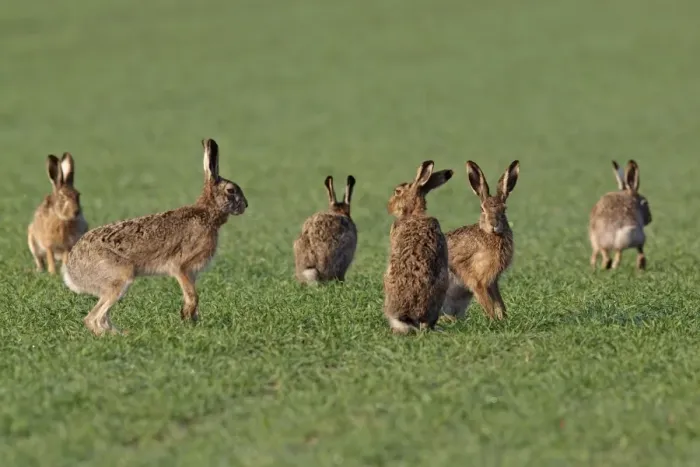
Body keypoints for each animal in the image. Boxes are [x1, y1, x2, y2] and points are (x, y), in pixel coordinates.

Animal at [62, 138, 248, 335]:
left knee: (101, 318)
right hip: (119, 278)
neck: (207, 213)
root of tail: (71, 272)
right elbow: (193, 295)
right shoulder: (181, 266)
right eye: (231, 190)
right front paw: (187, 319)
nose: (246, 205)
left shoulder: (191, 273)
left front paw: (190, 320)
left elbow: (191, 296)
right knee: (93, 318)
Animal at [442, 160, 520, 321]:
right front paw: (493, 321)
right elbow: (487, 303)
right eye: (482, 209)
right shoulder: (478, 281)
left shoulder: (492, 281)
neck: (490, 235)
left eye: (504, 209)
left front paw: (503, 319)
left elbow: (499, 302)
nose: (494, 224)